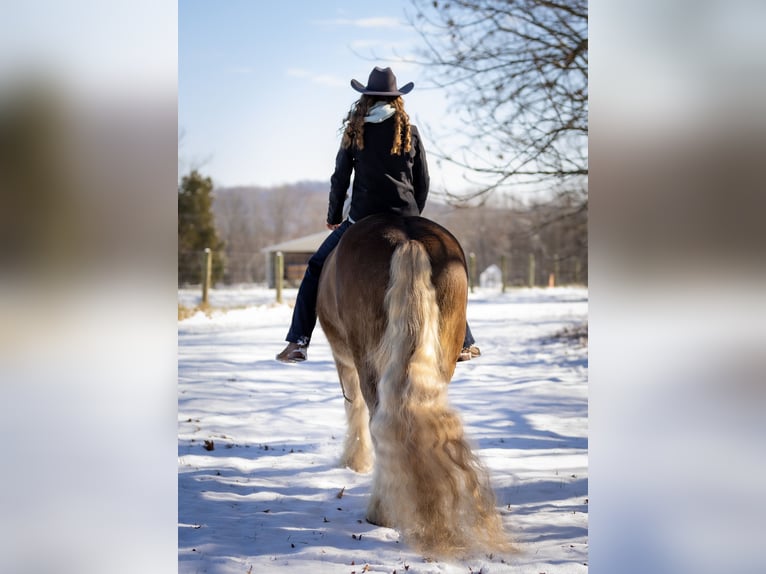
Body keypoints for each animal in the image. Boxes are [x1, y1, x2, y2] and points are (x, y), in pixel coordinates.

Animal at [316, 213, 510, 560]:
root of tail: (407, 237)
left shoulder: (344, 360)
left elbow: (353, 410)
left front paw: (354, 462)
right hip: (439, 362)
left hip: (368, 361)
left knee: (379, 421)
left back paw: (380, 512)